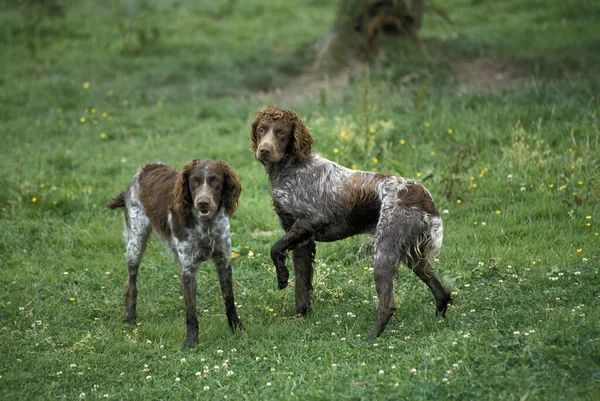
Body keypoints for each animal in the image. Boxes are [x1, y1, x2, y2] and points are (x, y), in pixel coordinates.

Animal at [106, 159, 243, 346]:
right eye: (194, 181)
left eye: (215, 180)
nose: (202, 203)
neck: (206, 227)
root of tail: (147, 167)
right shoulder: (188, 267)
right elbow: (190, 310)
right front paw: (191, 341)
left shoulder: (223, 260)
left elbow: (229, 298)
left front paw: (236, 328)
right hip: (135, 243)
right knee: (131, 284)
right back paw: (130, 318)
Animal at [248, 105, 450, 338]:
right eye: (261, 130)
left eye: (281, 132)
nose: (264, 150)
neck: (291, 169)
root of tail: (423, 195)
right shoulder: (301, 240)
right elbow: (302, 286)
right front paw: (300, 316)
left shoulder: (310, 222)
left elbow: (274, 249)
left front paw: (282, 278)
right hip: (410, 254)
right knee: (442, 289)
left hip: (384, 250)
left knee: (388, 304)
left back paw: (371, 338)